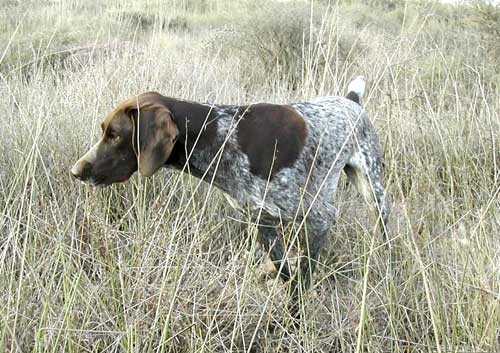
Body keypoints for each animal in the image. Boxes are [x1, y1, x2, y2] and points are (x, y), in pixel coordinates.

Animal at [71, 76, 390, 316]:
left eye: (114, 134)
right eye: (106, 131)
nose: (76, 171)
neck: (222, 137)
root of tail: (350, 100)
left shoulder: (320, 217)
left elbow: (301, 279)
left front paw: (294, 319)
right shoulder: (261, 221)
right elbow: (285, 269)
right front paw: (272, 278)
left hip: (373, 190)